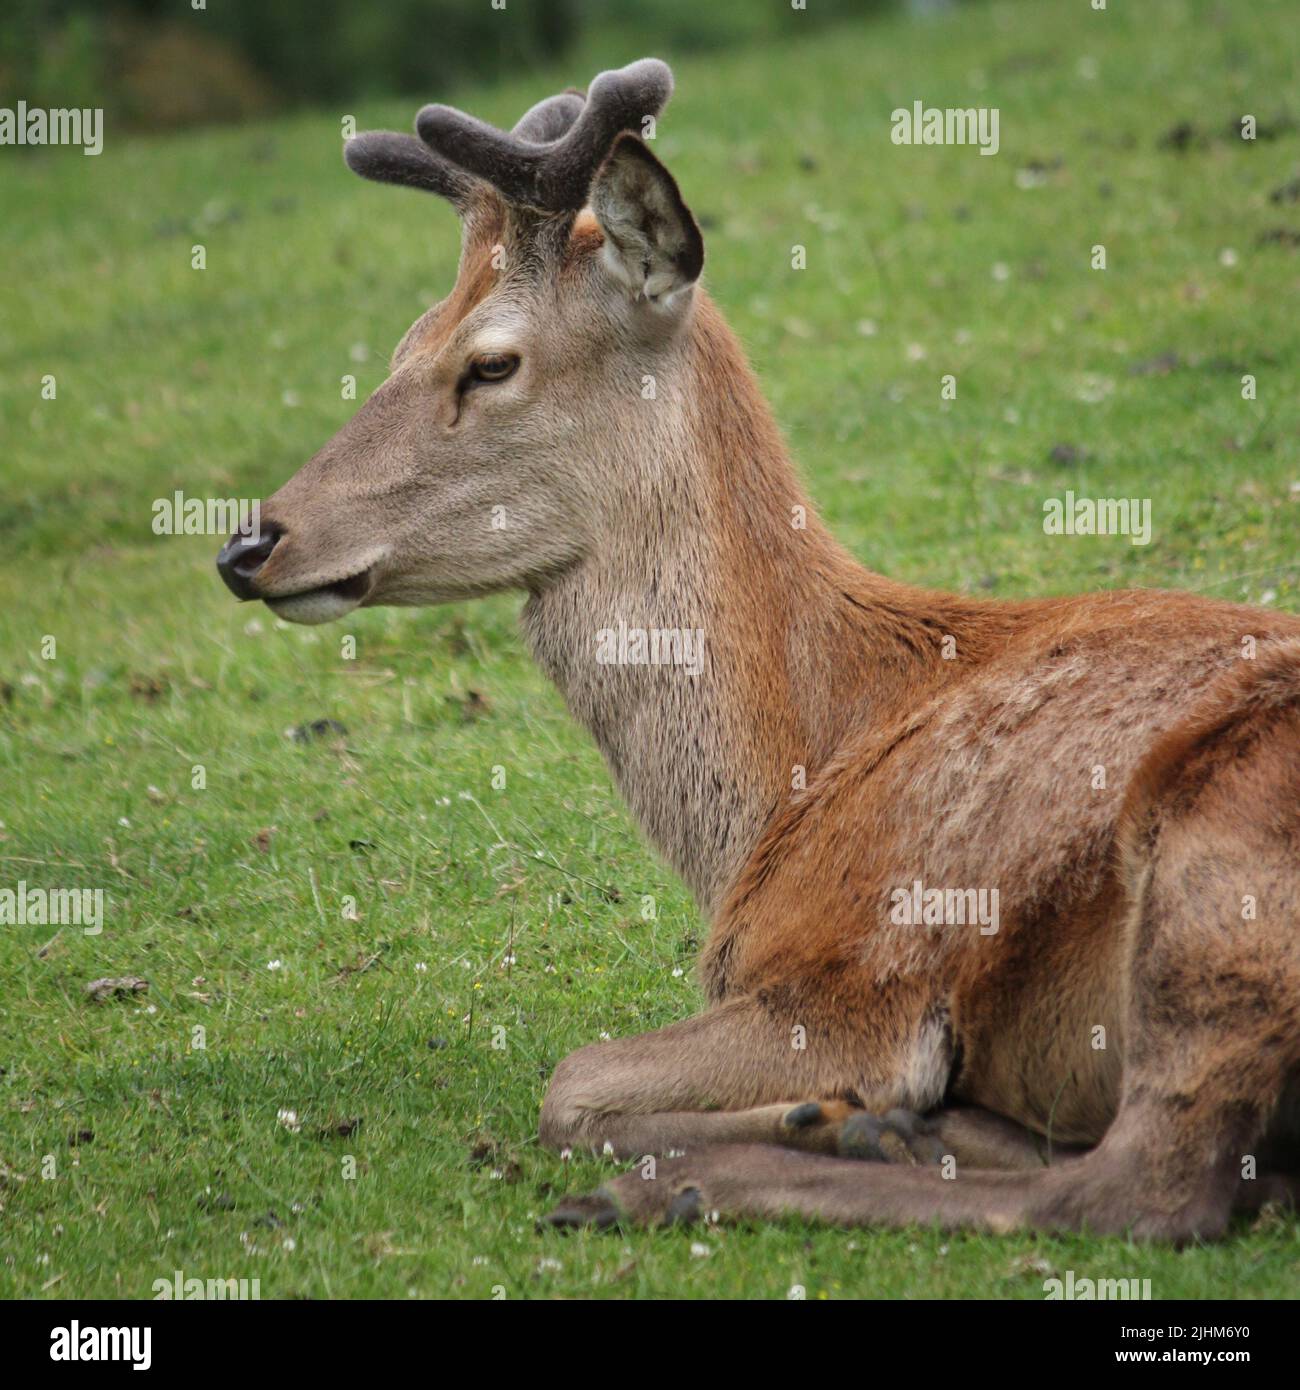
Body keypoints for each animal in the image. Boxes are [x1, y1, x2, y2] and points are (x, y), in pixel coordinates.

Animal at [216, 59, 1300, 1242]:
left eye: (490, 362)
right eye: (404, 342)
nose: (250, 542)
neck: (777, 791)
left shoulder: (855, 977)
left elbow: (571, 1084)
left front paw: (833, 1113)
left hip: (1215, 861)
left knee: (1139, 1187)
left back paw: (700, 1175)